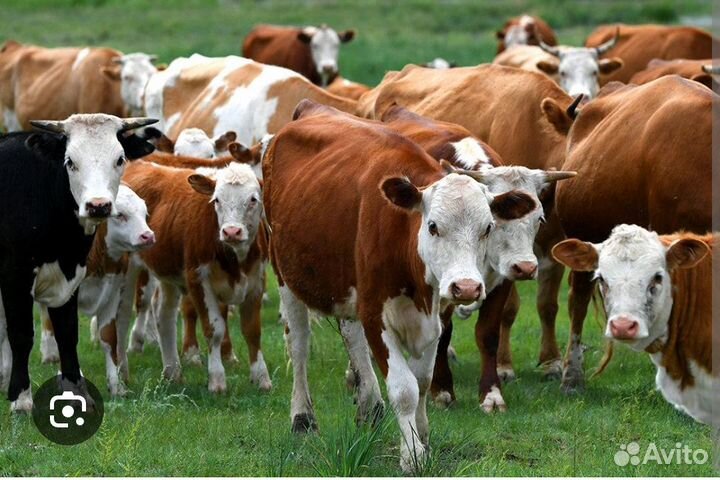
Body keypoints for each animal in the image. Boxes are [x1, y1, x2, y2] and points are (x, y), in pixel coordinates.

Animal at [37, 185, 155, 396]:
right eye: (120, 215)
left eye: (145, 214)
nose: (148, 236)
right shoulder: (66, 297)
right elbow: (67, 339)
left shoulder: (112, 293)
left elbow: (109, 338)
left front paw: (116, 386)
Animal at [122, 161, 272, 393]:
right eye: (217, 200)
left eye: (253, 199)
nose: (231, 231)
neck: (235, 259)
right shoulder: (198, 280)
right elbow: (214, 329)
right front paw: (217, 380)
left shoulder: (257, 281)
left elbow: (252, 330)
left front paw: (261, 377)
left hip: (168, 275)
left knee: (164, 315)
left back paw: (173, 371)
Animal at [264, 102, 537, 471]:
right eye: (433, 226)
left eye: (488, 227)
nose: (466, 288)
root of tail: (312, 107)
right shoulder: (375, 313)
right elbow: (405, 388)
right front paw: (413, 455)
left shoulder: (433, 314)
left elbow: (422, 380)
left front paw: (422, 436)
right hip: (285, 275)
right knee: (299, 345)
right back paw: (303, 418)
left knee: (351, 336)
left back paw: (369, 405)